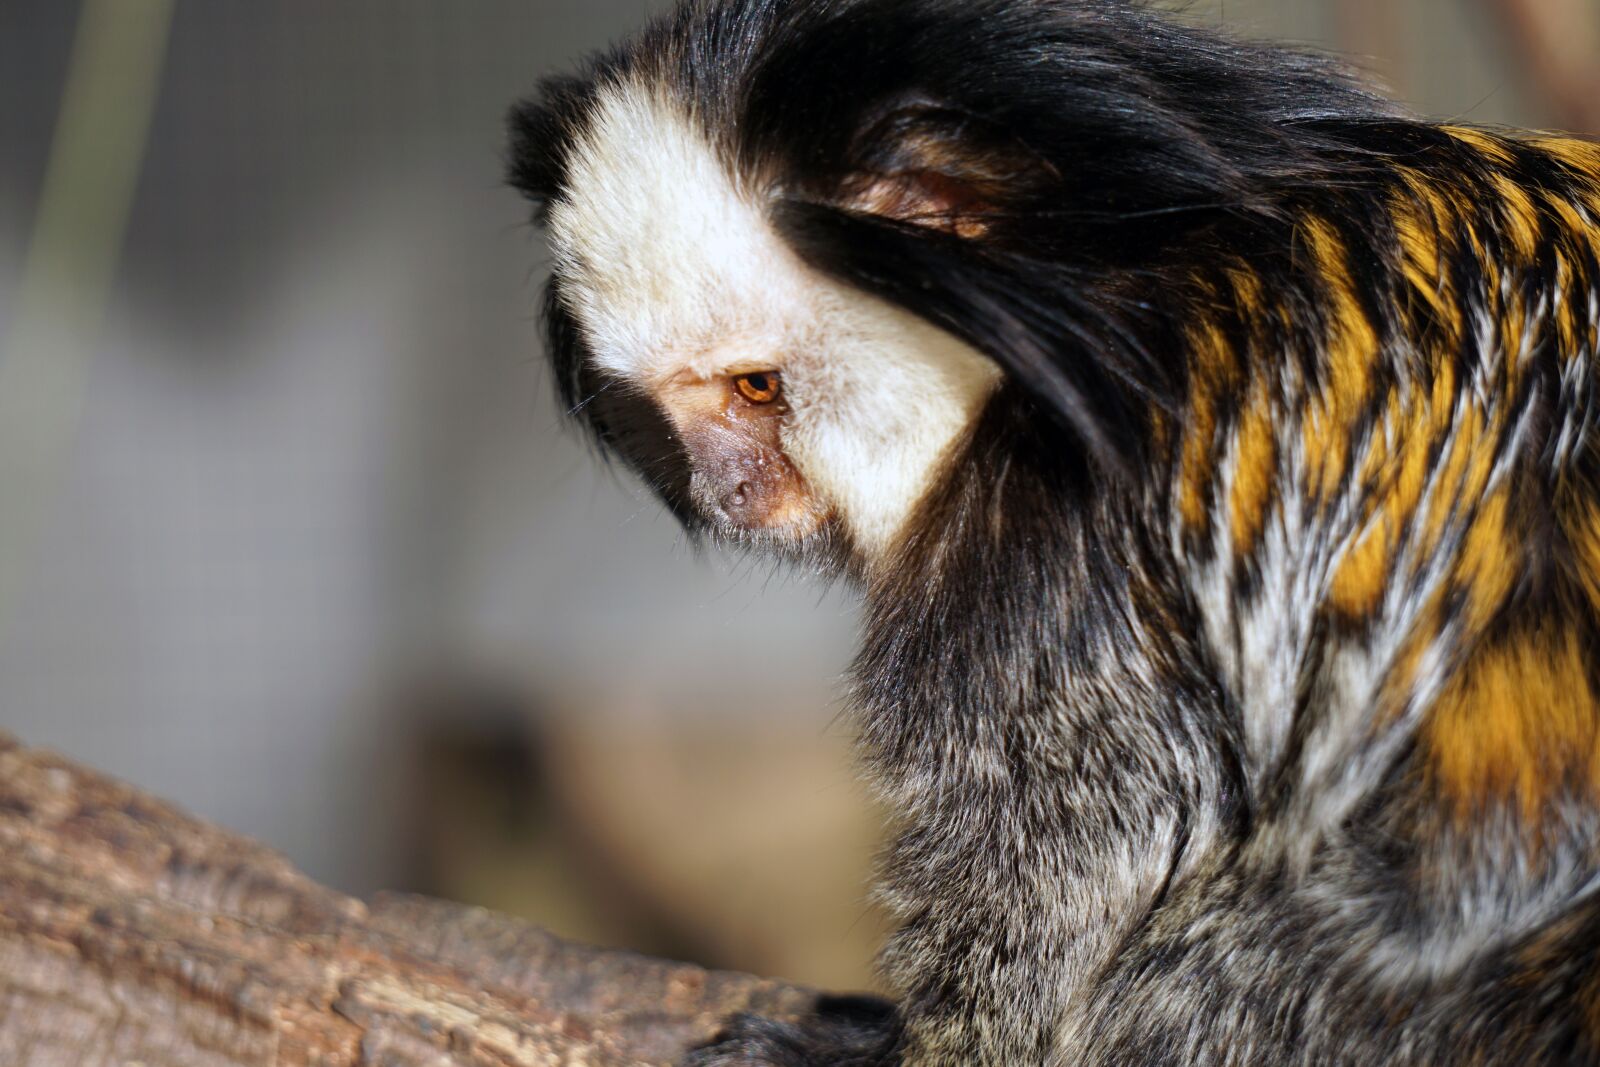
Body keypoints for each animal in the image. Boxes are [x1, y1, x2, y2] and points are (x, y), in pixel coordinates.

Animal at [506, 0, 1600, 1062]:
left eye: (756, 387)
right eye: (668, 409)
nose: (722, 486)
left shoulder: (1067, 560)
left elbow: (1083, 850)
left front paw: (897, 1047)